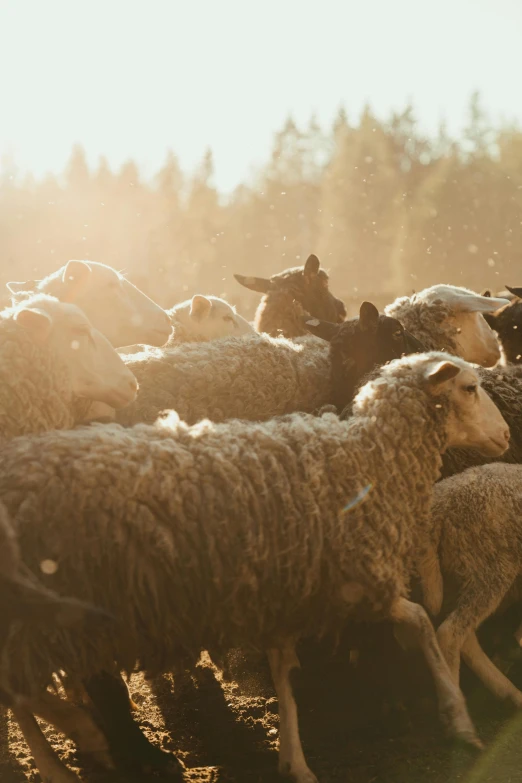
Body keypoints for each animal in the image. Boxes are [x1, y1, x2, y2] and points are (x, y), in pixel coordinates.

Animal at [0, 352, 508, 780]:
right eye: (469, 387)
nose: (505, 436)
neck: (370, 458)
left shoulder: (285, 590)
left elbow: (284, 673)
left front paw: (293, 759)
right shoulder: (354, 574)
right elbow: (422, 621)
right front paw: (458, 718)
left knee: (20, 693)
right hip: (44, 615)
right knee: (19, 691)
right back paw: (72, 742)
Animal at [418, 462, 522, 712]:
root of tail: (440, 504)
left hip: (458, 575)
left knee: (465, 637)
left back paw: (510, 693)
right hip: (491, 568)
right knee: (449, 634)